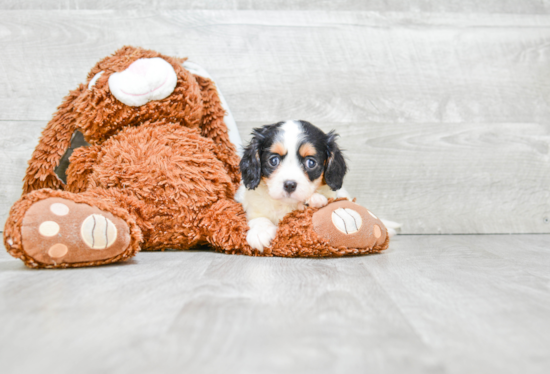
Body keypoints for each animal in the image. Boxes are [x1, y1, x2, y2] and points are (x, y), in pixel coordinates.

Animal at [236, 120, 350, 253]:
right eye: (273, 160)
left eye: (311, 163)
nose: (289, 185)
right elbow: (258, 217)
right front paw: (260, 231)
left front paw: (314, 198)